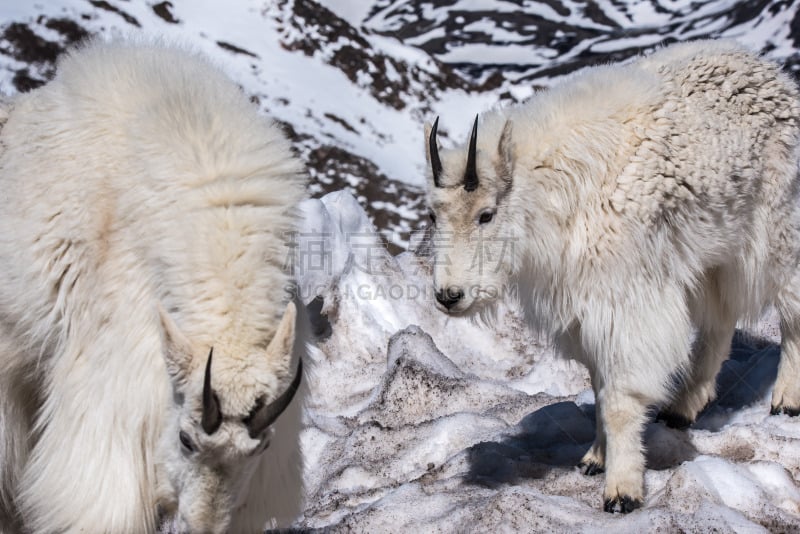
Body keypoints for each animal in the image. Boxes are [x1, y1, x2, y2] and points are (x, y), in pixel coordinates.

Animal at [424, 40, 800, 516]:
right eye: (433, 215)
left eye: (486, 214)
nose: (449, 295)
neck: (553, 189)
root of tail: (776, 75)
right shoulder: (585, 308)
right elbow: (599, 387)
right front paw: (594, 458)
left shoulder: (624, 302)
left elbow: (620, 398)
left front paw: (622, 490)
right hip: (710, 251)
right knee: (718, 322)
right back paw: (682, 407)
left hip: (774, 228)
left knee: (790, 305)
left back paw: (787, 398)